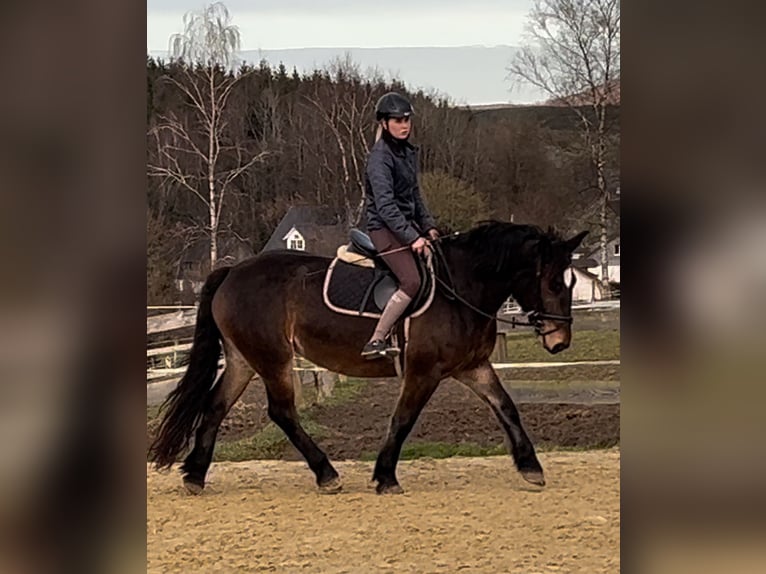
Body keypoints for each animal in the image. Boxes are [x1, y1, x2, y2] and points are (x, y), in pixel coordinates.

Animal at [152, 220, 592, 496]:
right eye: (554, 283)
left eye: (571, 281)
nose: (560, 341)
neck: (461, 289)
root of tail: (232, 271)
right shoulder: (423, 372)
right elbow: (403, 419)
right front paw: (385, 477)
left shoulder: (472, 367)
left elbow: (506, 407)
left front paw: (531, 468)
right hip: (272, 359)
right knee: (281, 412)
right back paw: (327, 474)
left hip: (244, 359)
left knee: (215, 406)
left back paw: (195, 475)